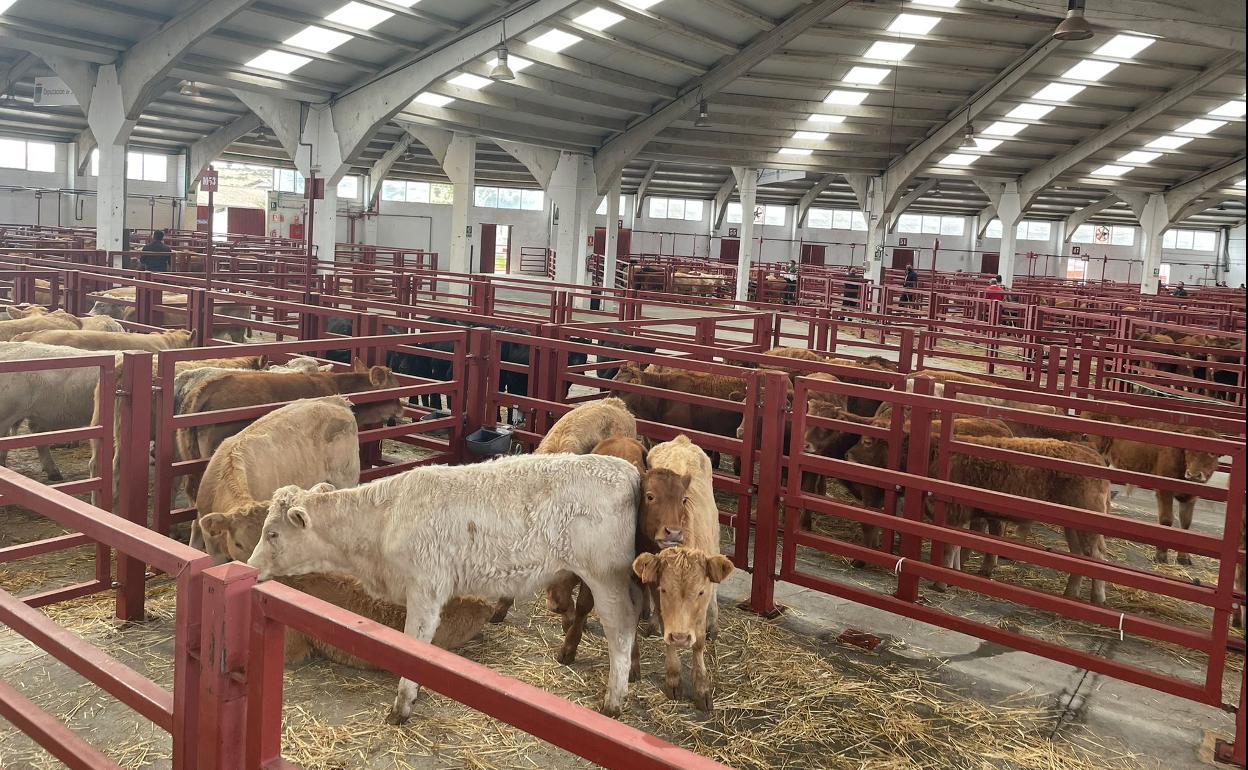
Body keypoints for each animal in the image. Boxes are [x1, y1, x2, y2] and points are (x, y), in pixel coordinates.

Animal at [250, 449, 643, 718]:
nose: (249, 566)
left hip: (605, 577)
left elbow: (413, 645)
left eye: (272, 533)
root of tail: (625, 469)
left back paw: (613, 700)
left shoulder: (425, 588)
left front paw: (403, 705)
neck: (385, 518)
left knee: (622, 627)